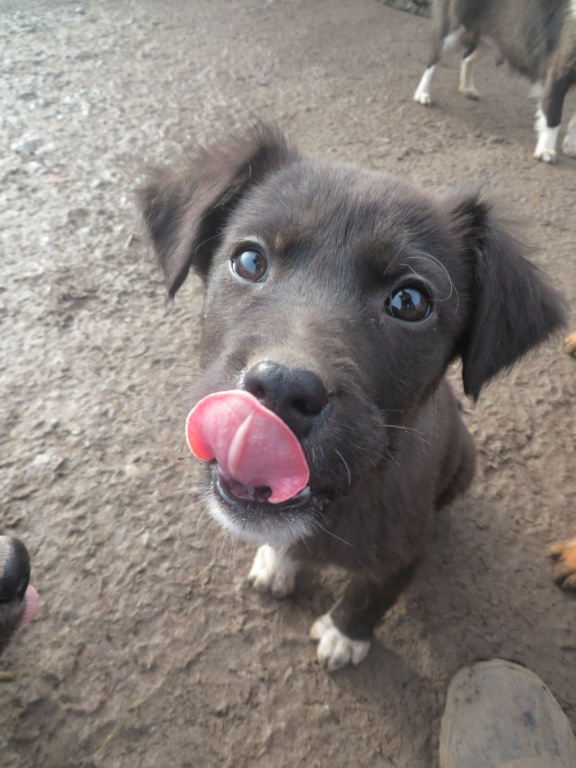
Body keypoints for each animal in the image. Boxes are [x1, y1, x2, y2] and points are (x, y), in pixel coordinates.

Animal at [141, 123, 568, 668]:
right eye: (249, 260)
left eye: (410, 302)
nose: (281, 388)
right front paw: (280, 561)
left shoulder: (405, 552)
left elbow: (373, 594)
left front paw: (345, 635)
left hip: (465, 463)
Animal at [416, 0, 576, 164]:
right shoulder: (558, 72)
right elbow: (553, 116)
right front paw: (546, 151)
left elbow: (573, 122)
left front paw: (570, 147)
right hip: (453, 26)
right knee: (433, 59)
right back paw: (422, 93)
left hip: (491, 37)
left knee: (467, 58)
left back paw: (467, 88)